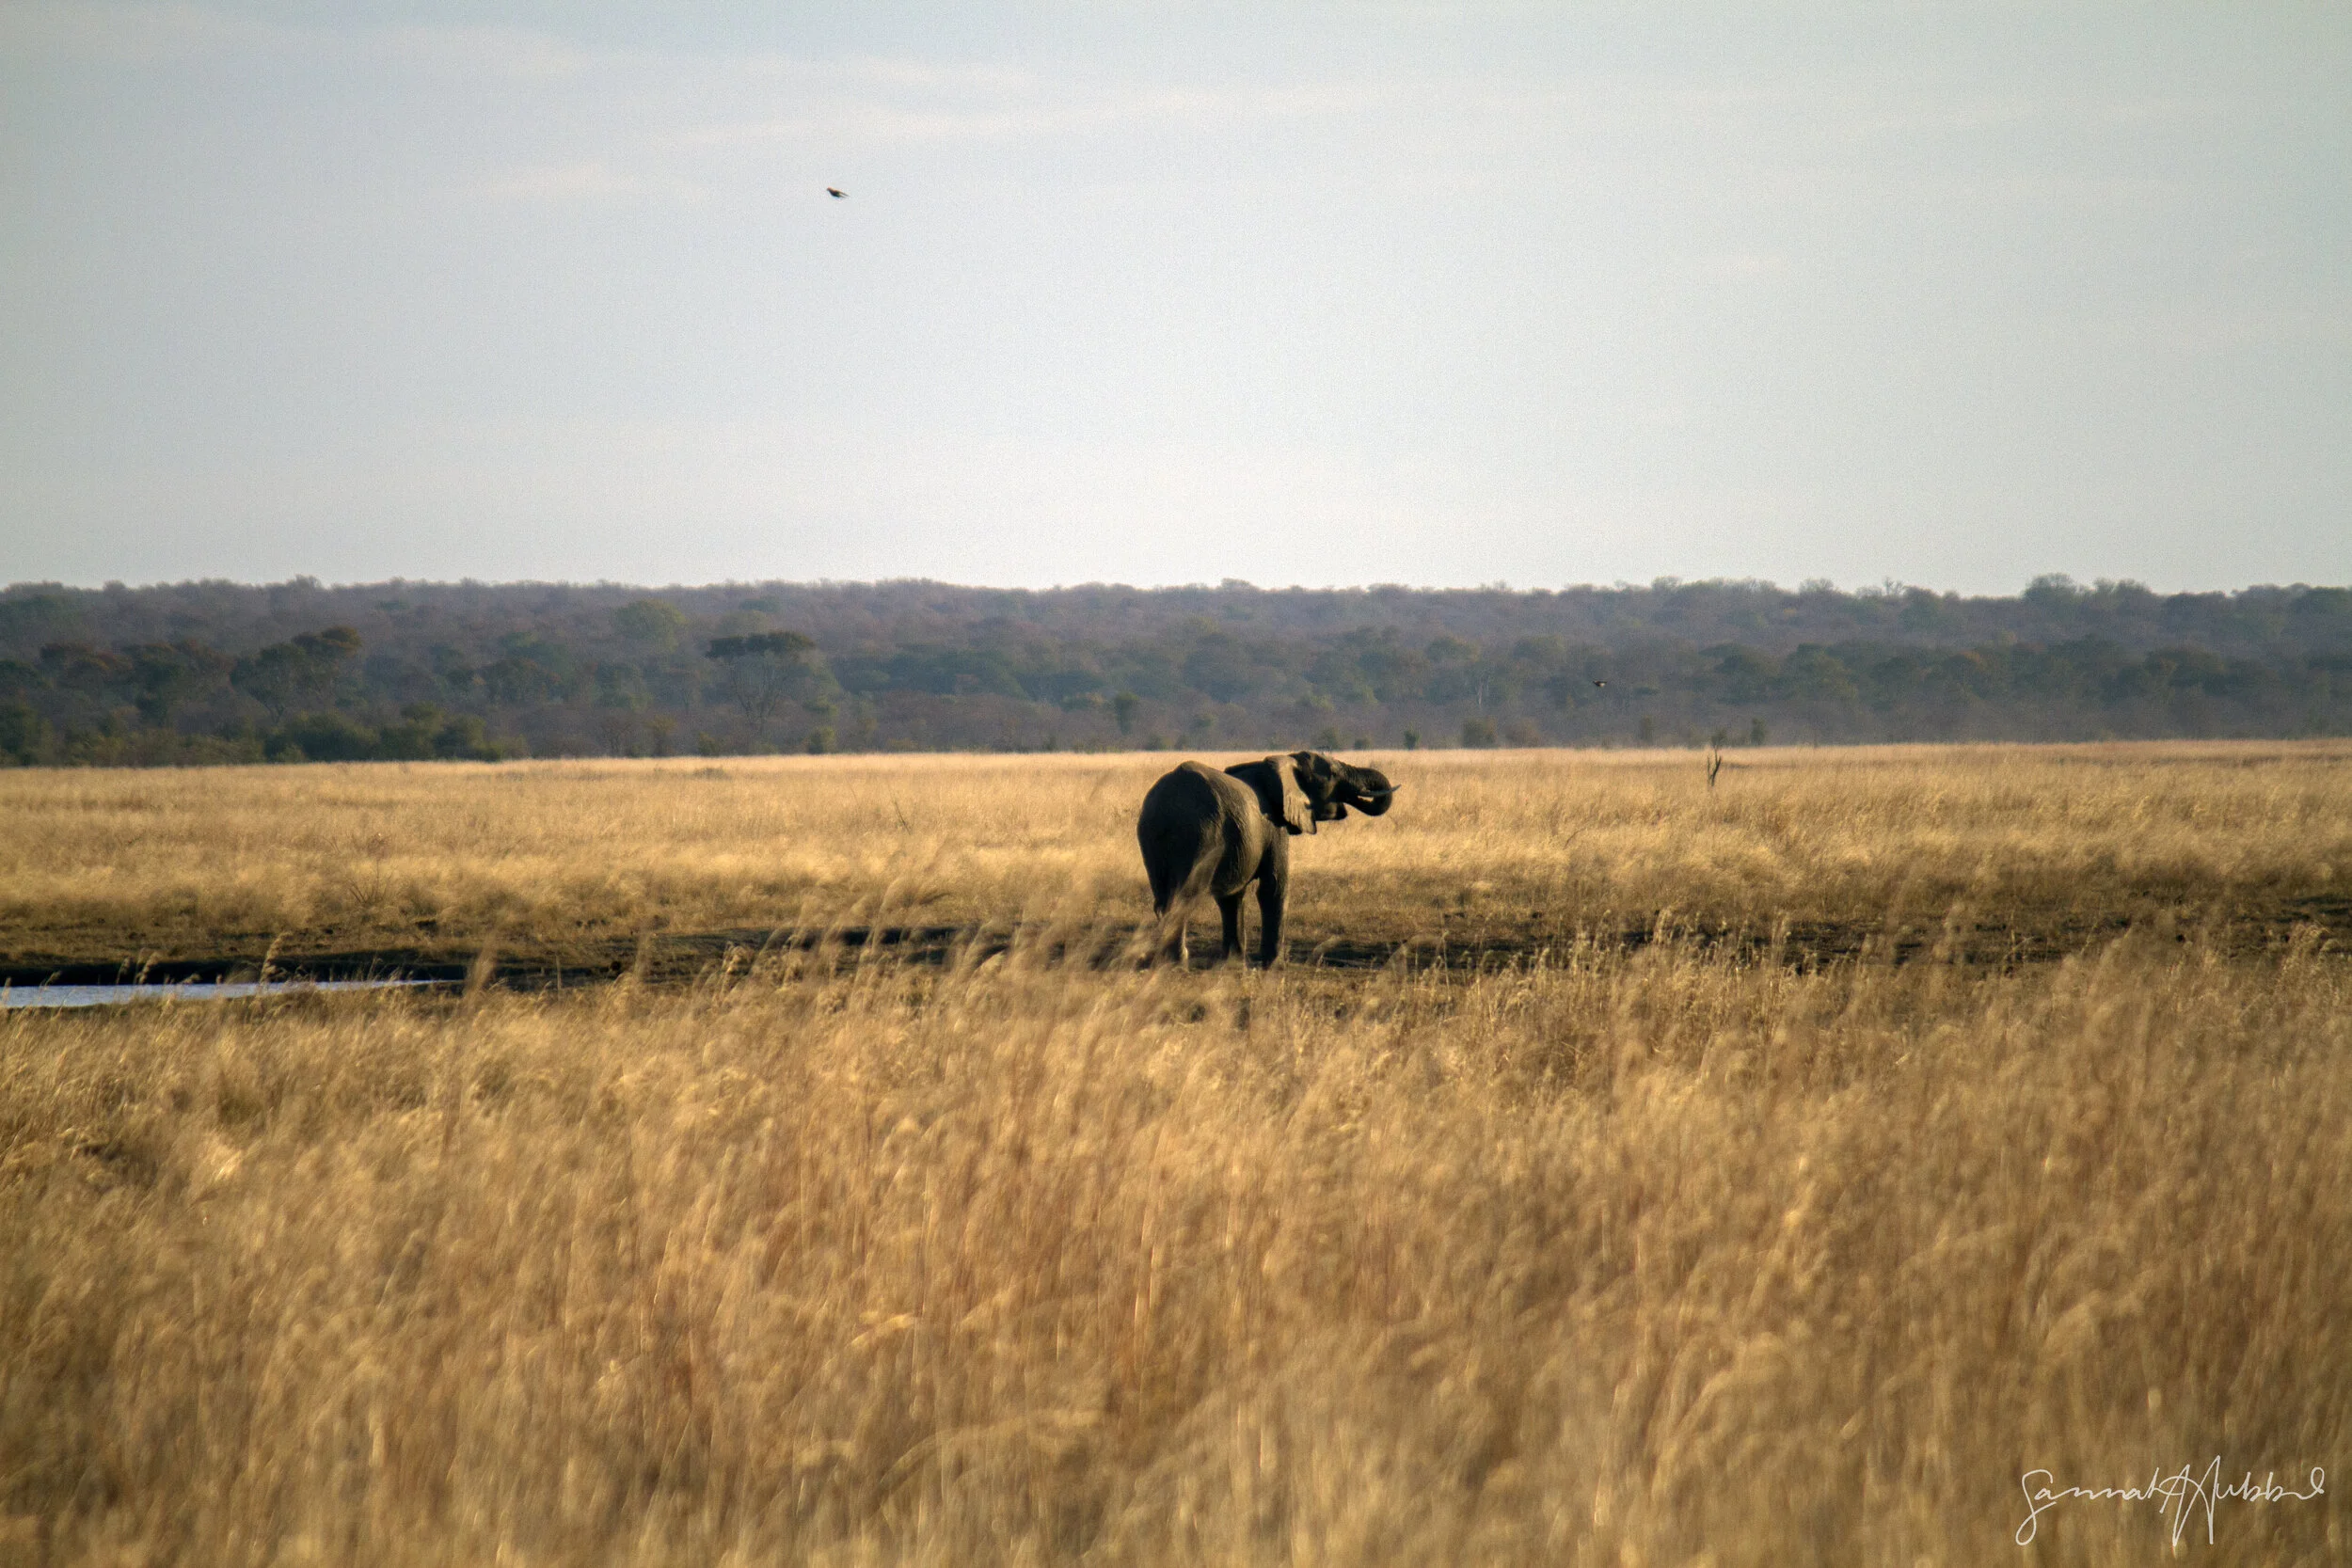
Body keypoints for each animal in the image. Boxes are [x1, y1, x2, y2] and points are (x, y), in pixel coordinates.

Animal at [1135, 749, 1397, 966]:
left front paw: (1232, 964)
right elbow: (1273, 888)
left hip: (1153, 837)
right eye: (1332, 774)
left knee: (1163, 897)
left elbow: (1232, 896)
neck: (1279, 763)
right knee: (1184, 897)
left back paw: (1164, 962)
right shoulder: (1274, 827)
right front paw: (1275, 967)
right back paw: (1177, 964)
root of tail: (1167, 806)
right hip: (1200, 834)